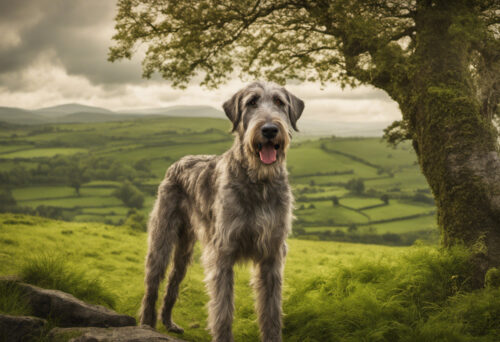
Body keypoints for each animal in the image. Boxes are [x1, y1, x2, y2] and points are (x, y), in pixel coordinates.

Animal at [140, 81, 304, 342]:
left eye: (279, 102)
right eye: (251, 102)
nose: (269, 129)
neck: (259, 183)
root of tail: (178, 161)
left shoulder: (272, 254)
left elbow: (271, 311)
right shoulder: (222, 252)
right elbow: (223, 310)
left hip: (185, 248)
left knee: (174, 281)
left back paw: (168, 322)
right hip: (162, 237)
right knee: (153, 283)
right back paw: (146, 324)